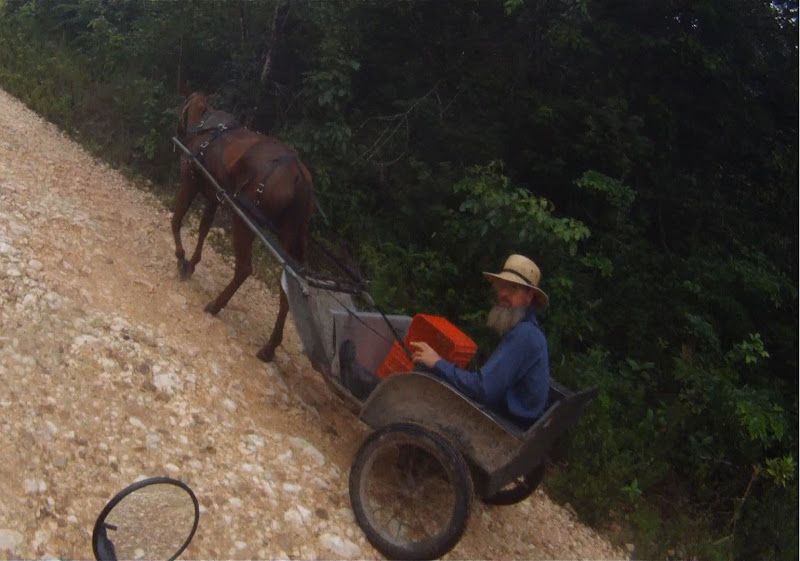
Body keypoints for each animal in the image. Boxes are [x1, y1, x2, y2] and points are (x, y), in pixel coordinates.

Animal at [172, 91, 314, 362]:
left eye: (182, 107)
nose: (178, 132)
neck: (205, 127)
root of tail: (298, 175)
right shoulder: (214, 197)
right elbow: (203, 230)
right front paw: (193, 263)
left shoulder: (190, 180)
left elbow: (176, 220)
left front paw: (182, 260)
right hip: (291, 237)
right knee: (288, 290)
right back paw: (270, 347)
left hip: (244, 220)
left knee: (245, 268)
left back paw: (216, 305)